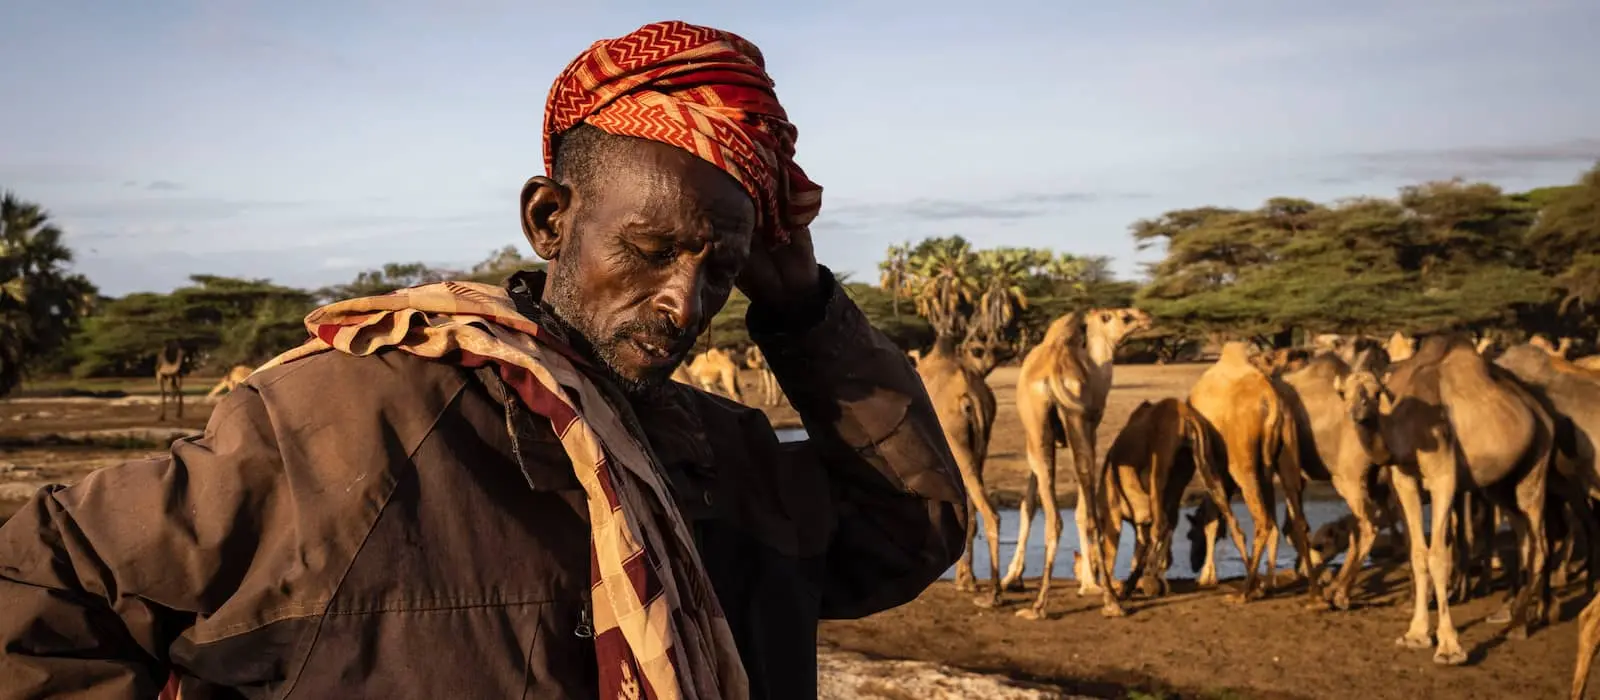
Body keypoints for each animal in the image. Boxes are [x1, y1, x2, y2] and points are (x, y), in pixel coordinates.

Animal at [998, 306, 1152, 616]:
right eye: (1125, 316)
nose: (1147, 318)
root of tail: (1053, 375)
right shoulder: (1086, 430)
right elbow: (1040, 506)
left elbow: (1028, 506)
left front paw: (1012, 578)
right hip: (1076, 428)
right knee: (1084, 512)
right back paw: (1106, 598)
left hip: (1045, 432)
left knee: (1060, 516)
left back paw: (1042, 606)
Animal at [1100, 396, 1209, 604]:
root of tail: (1184, 415)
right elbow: (1140, 544)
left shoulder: (1113, 510)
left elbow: (1113, 547)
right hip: (1181, 470)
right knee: (1170, 521)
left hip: (1160, 464)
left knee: (1161, 524)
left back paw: (1148, 582)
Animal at [1190, 342, 1312, 604]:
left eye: (1189, 536)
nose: (1193, 563)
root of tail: (1271, 399)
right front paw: (1267, 584)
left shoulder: (1210, 466)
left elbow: (1218, 522)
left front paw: (1207, 577)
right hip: (1283, 453)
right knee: (1293, 519)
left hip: (1242, 466)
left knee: (1262, 521)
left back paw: (1246, 591)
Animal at [1344, 335, 1555, 664]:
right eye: (1344, 393)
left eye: (1376, 393)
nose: (1360, 414)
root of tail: (1543, 412)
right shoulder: (1405, 479)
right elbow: (1418, 553)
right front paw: (1416, 634)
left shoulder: (1444, 476)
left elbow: (1438, 555)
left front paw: (1449, 647)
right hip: (1500, 483)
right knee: (1525, 537)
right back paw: (1513, 616)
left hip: (1537, 462)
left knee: (1540, 542)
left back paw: (1519, 626)